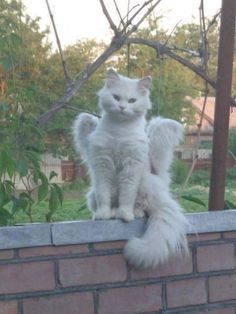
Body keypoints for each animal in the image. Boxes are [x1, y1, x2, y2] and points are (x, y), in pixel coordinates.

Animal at [73, 68, 189, 268]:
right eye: (116, 97)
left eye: (132, 100)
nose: (122, 108)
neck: (119, 132)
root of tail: (161, 181)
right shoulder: (103, 165)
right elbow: (104, 195)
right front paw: (103, 214)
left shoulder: (131, 167)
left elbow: (127, 196)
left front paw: (125, 215)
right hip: (93, 193)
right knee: (106, 201)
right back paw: (109, 213)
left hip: (146, 183)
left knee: (143, 208)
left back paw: (132, 213)